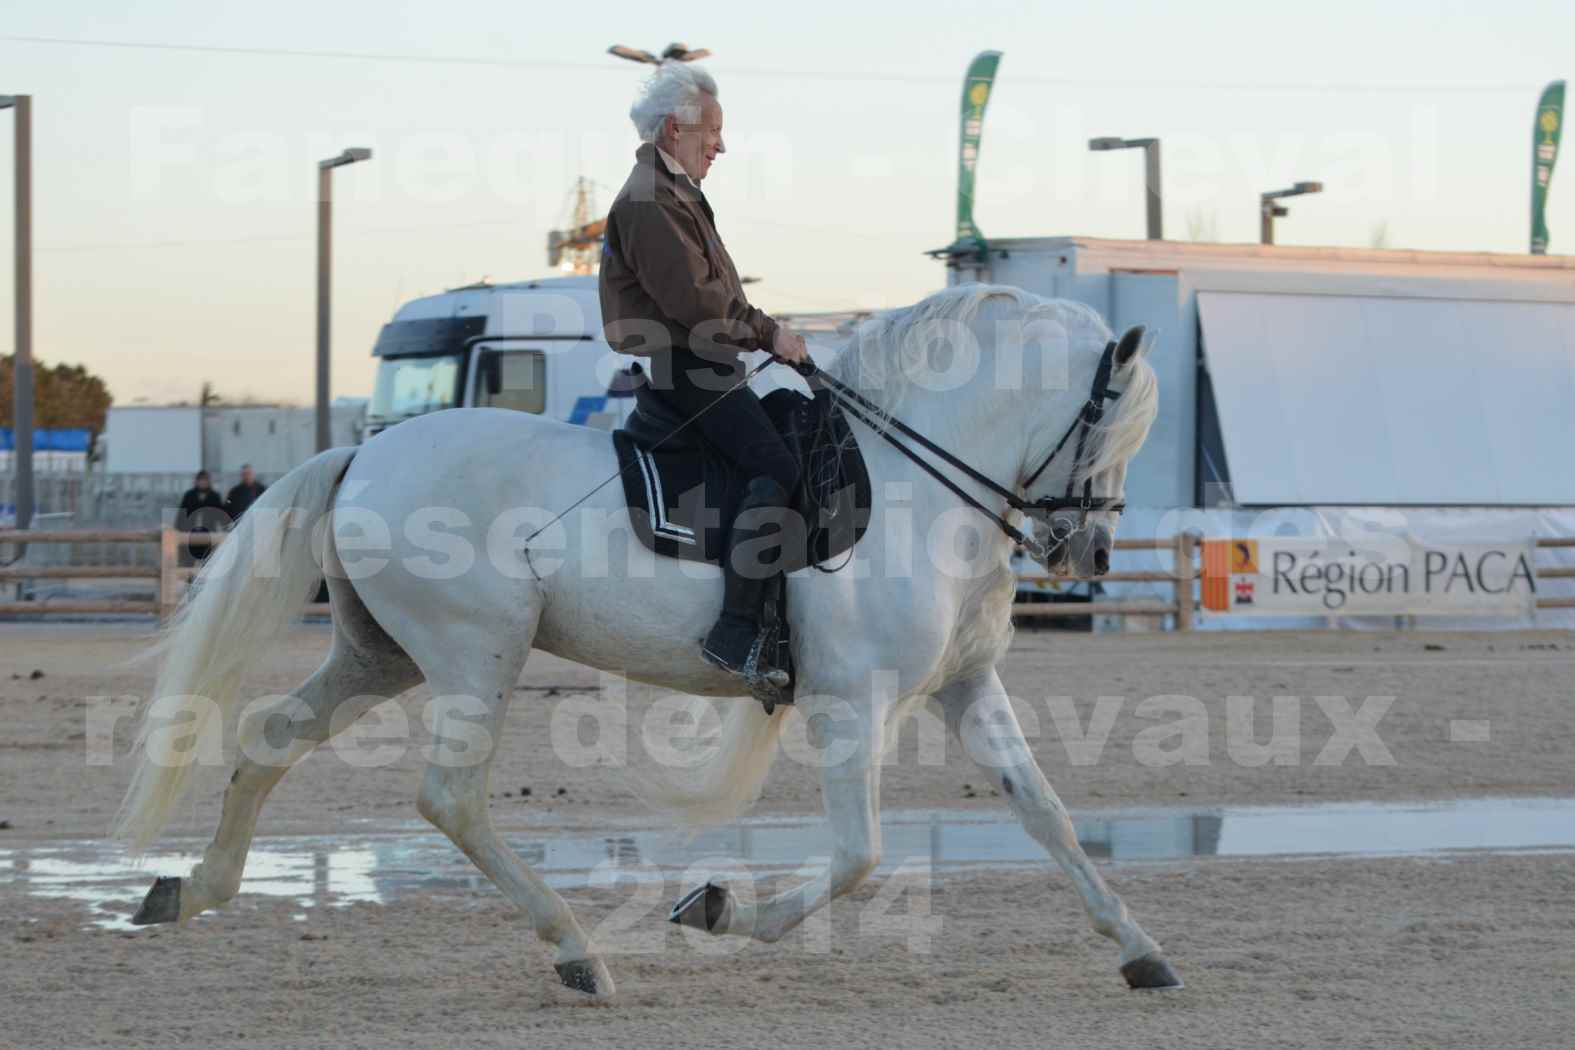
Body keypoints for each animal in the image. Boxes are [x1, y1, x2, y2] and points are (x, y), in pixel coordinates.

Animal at [116, 284, 1178, 1001]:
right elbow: (858, 857)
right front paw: (718, 910)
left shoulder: (966, 688)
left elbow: (1047, 815)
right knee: (450, 798)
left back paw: (190, 891)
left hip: (381, 656)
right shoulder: (851, 703)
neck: (916, 487)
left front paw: (1140, 949)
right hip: (474, 655)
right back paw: (578, 951)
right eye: (1107, 432)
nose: (1085, 550)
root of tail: (364, 454)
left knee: (268, 742)